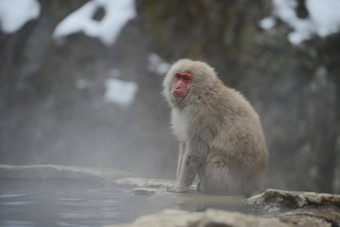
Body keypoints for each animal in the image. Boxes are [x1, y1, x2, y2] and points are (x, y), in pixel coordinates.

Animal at [163, 59, 268, 196]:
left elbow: (196, 149)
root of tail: (254, 185)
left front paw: (181, 186)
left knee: (213, 157)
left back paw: (211, 188)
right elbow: (185, 145)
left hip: (233, 180)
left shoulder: (200, 114)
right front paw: (178, 183)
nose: (177, 87)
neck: (200, 93)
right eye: (178, 76)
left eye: (186, 79)